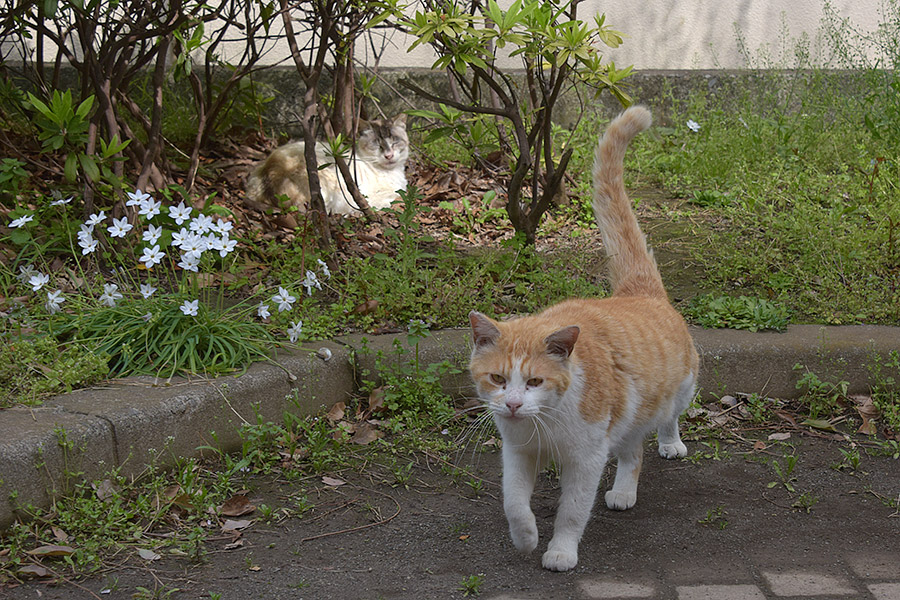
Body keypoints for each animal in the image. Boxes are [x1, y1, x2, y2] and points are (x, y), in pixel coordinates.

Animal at [468, 106, 700, 572]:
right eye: (498, 379)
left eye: (535, 382)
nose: (513, 405)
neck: (546, 424)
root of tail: (637, 292)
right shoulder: (517, 454)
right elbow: (513, 503)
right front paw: (525, 537)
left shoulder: (587, 459)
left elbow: (573, 511)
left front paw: (560, 551)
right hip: (628, 417)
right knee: (632, 451)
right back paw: (625, 491)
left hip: (679, 390)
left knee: (662, 424)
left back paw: (669, 445)